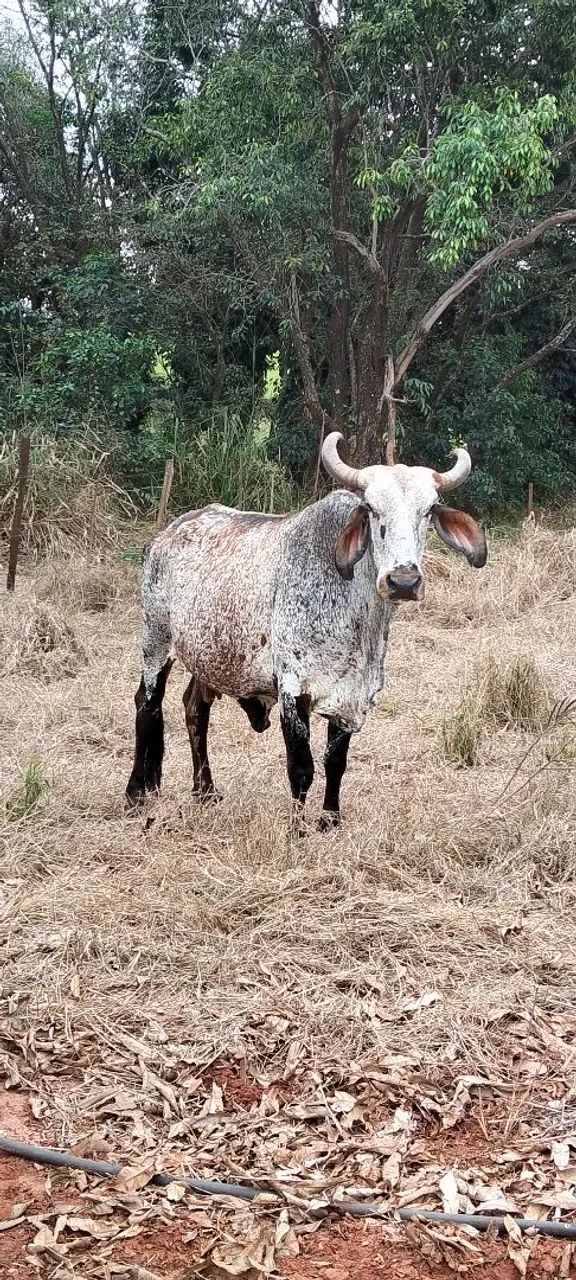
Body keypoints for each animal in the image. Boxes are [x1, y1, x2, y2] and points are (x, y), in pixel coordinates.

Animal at [126, 432, 487, 828]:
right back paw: (136, 793)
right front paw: (296, 828)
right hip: (155, 641)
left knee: (194, 708)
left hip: (207, 656)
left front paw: (330, 819)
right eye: (371, 509)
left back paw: (205, 790)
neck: (355, 613)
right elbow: (301, 768)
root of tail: (164, 534)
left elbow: (335, 763)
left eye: (429, 510)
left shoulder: (350, 697)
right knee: (147, 705)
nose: (403, 580)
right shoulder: (293, 688)